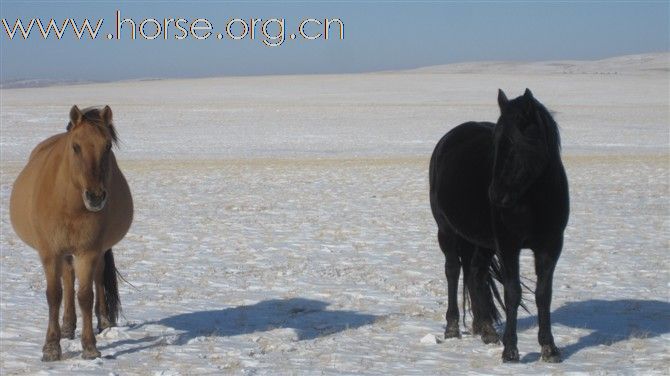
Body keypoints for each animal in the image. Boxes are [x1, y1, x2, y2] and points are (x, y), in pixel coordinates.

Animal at [10, 106, 134, 362]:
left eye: (107, 146)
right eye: (76, 146)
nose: (95, 197)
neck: (70, 204)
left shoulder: (88, 251)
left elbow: (86, 295)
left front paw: (90, 347)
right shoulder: (50, 252)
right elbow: (54, 294)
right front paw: (51, 346)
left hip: (96, 251)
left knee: (97, 277)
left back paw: (103, 321)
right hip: (65, 253)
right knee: (67, 279)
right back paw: (67, 326)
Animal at [434, 89, 568, 362]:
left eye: (517, 143)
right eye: (496, 144)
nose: (495, 195)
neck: (533, 200)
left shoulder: (550, 246)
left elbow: (543, 294)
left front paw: (549, 348)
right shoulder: (508, 246)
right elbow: (512, 292)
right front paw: (511, 351)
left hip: (481, 242)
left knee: (475, 273)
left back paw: (486, 329)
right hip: (447, 232)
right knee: (453, 271)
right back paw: (452, 328)